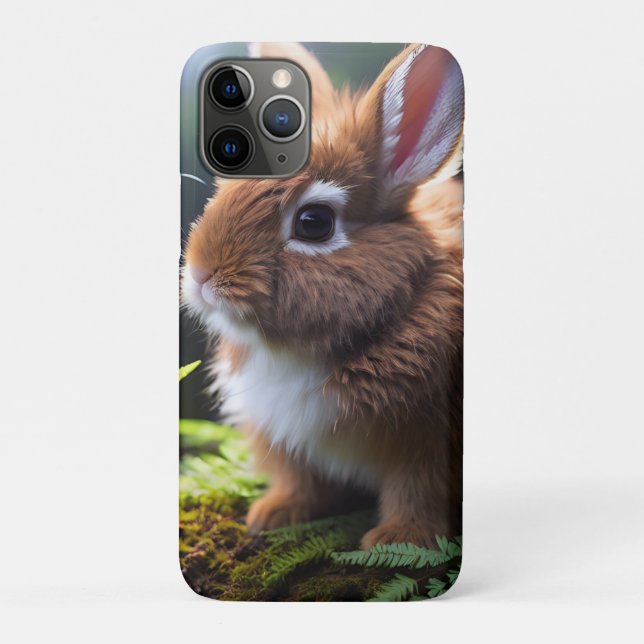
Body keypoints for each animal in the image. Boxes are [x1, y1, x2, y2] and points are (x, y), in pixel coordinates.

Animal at [182, 42, 464, 549]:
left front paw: (398, 540)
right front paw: (272, 514)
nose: (199, 273)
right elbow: (301, 481)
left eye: (314, 223)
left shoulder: (428, 440)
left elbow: (418, 492)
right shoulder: (284, 437)